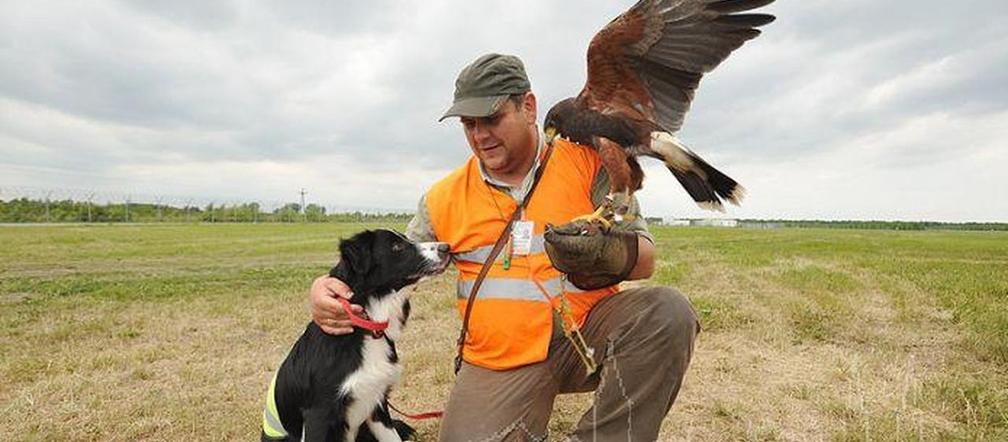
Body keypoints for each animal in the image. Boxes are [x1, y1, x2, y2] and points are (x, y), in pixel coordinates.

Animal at [264, 230, 449, 442]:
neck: (367, 328)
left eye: (407, 239)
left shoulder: (377, 404)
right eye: (397, 246)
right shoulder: (319, 415)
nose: (447, 247)